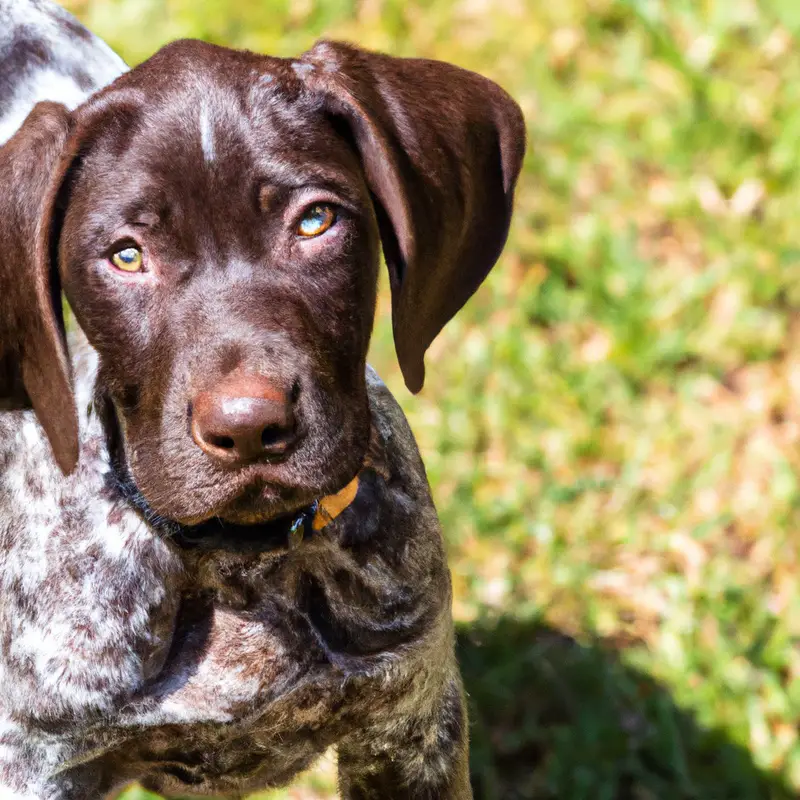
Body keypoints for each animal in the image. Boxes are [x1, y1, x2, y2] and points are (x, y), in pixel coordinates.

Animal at [0, 3, 528, 796]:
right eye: (126, 256)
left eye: (314, 222)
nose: (249, 429)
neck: (244, 565)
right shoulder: (36, 762)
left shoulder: (413, 725)